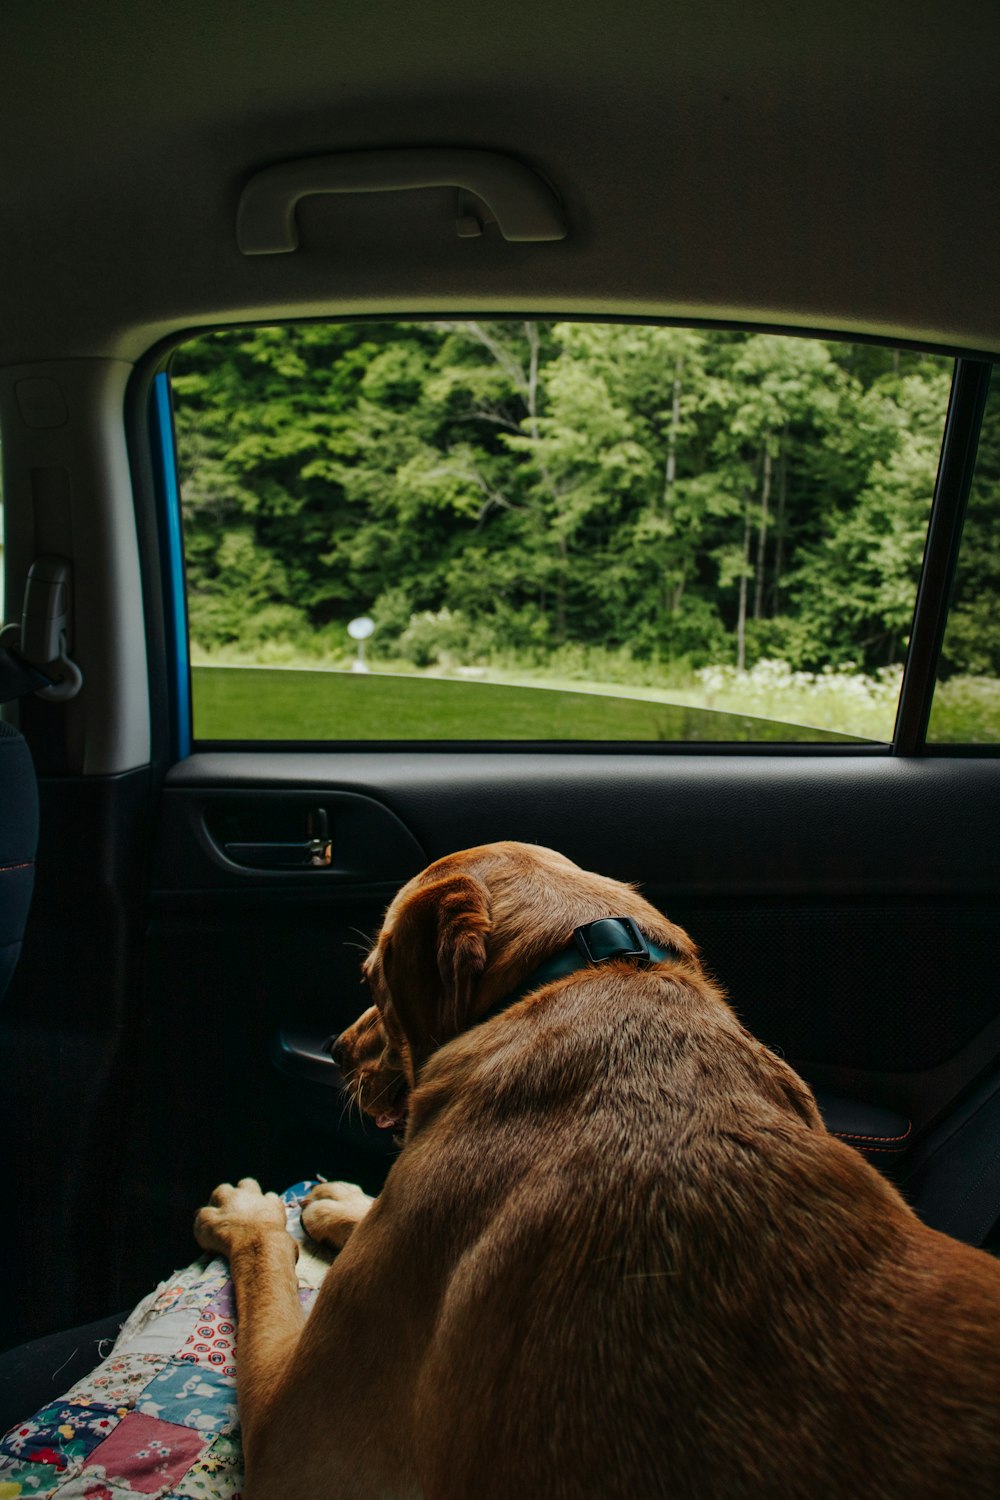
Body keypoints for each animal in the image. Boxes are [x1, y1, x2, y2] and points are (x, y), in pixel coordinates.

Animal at [193, 846, 1000, 1500]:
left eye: (372, 980)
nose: (333, 1049)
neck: (579, 972)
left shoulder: (294, 1438)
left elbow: (268, 1263)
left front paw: (249, 1213)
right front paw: (343, 1203)